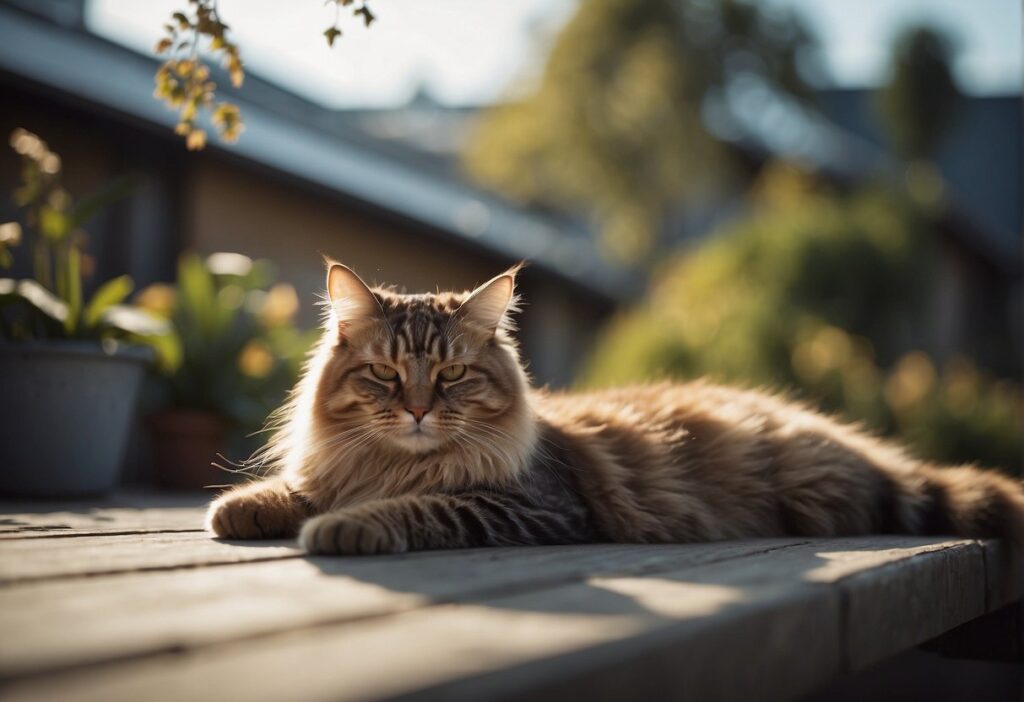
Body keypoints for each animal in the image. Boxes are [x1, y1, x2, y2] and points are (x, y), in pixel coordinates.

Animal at [207, 261, 1024, 556]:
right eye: (383, 373)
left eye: (451, 375)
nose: (414, 411)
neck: (395, 462)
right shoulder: (341, 468)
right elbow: (296, 489)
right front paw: (241, 507)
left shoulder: (529, 506)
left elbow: (410, 508)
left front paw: (339, 527)